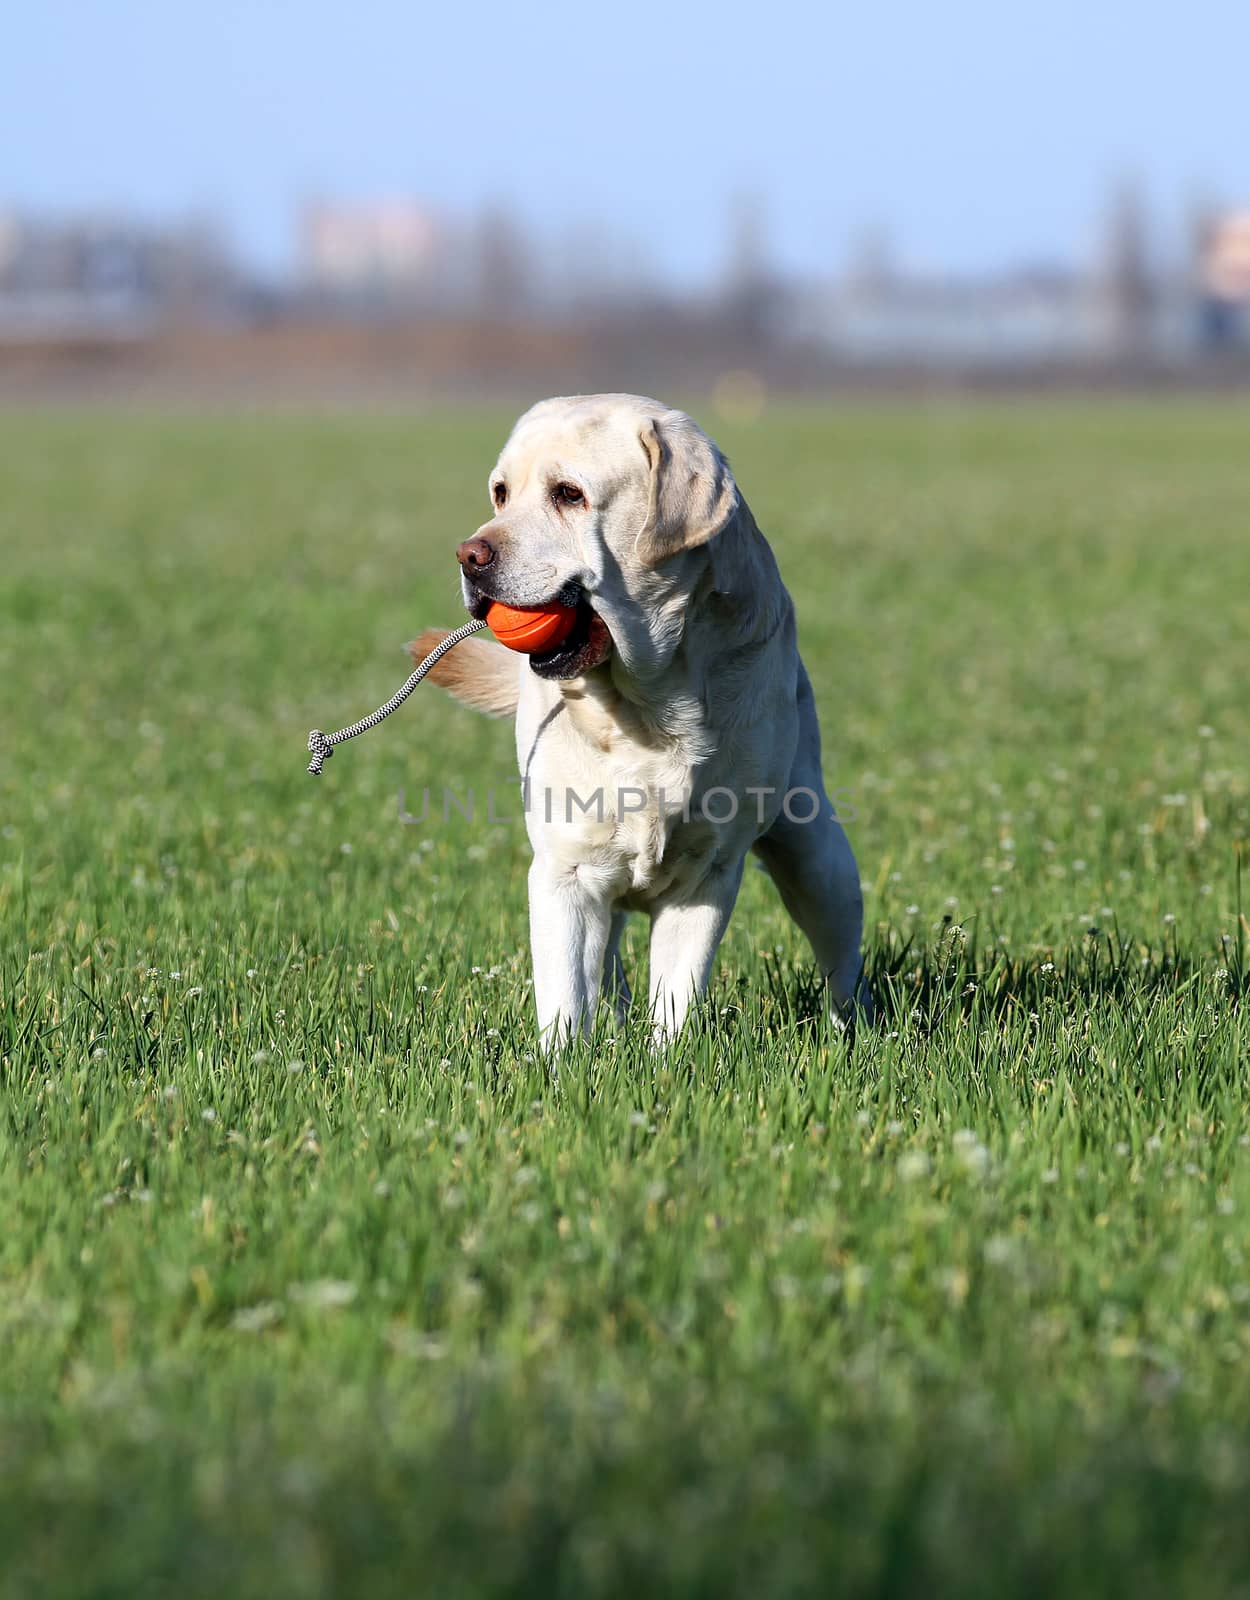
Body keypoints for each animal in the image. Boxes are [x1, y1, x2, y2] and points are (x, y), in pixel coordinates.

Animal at [412, 398, 864, 1043]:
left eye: (568, 494)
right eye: (501, 493)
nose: (469, 557)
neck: (645, 705)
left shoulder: (708, 873)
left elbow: (676, 996)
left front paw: (665, 1060)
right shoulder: (564, 871)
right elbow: (565, 998)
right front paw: (563, 1063)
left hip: (817, 854)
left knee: (842, 960)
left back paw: (856, 1034)